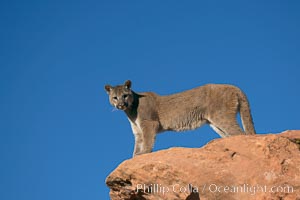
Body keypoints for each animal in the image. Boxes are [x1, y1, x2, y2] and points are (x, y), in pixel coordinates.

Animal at [105, 79, 255, 156]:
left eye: (125, 95)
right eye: (115, 97)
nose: (120, 104)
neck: (130, 110)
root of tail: (235, 87)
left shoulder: (149, 123)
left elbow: (148, 141)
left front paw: (144, 153)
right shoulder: (138, 131)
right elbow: (137, 146)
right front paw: (135, 157)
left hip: (221, 116)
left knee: (241, 134)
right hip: (215, 123)